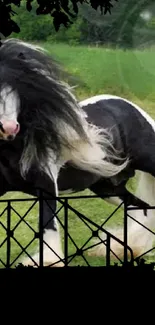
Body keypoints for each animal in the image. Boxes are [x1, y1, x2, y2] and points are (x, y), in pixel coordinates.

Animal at [0, 38, 154, 266]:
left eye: (17, 88)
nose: (9, 129)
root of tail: (134, 109)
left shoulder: (46, 183)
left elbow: (48, 225)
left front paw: (48, 261)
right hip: (108, 187)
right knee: (141, 209)